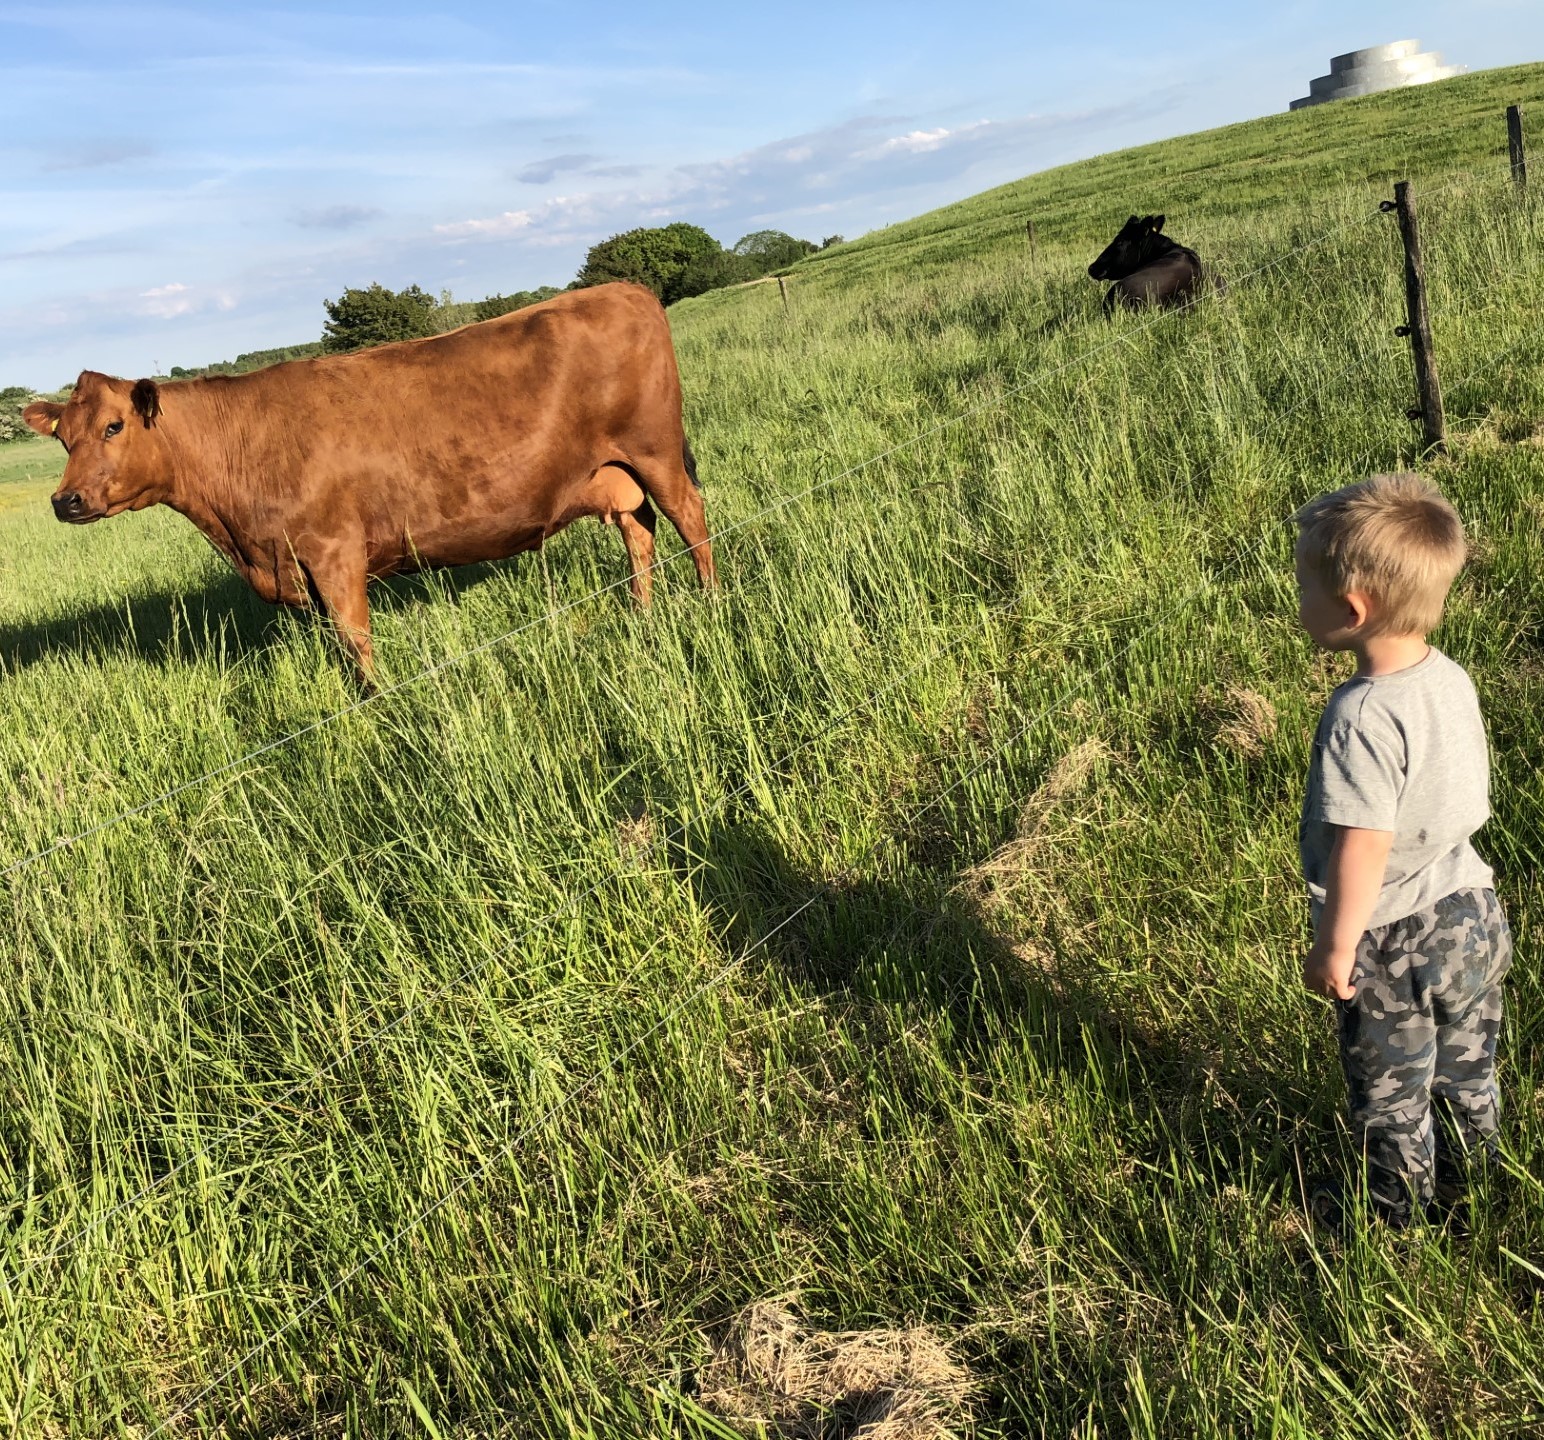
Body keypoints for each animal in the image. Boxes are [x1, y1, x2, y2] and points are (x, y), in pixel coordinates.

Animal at [25, 287, 710, 685]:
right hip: (615, 474)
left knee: (690, 519)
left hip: (655, 451)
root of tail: (624, 288)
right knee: (639, 530)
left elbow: (356, 643)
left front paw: (376, 708)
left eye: (114, 426)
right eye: (63, 438)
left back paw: (711, 600)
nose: (66, 500)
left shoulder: (333, 552)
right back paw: (641, 613)